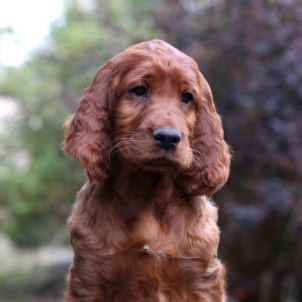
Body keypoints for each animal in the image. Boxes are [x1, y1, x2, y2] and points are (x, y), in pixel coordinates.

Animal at [62, 40, 230, 302]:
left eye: (187, 97)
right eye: (139, 90)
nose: (168, 137)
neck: (148, 189)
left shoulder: (201, 280)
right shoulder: (90, 276)